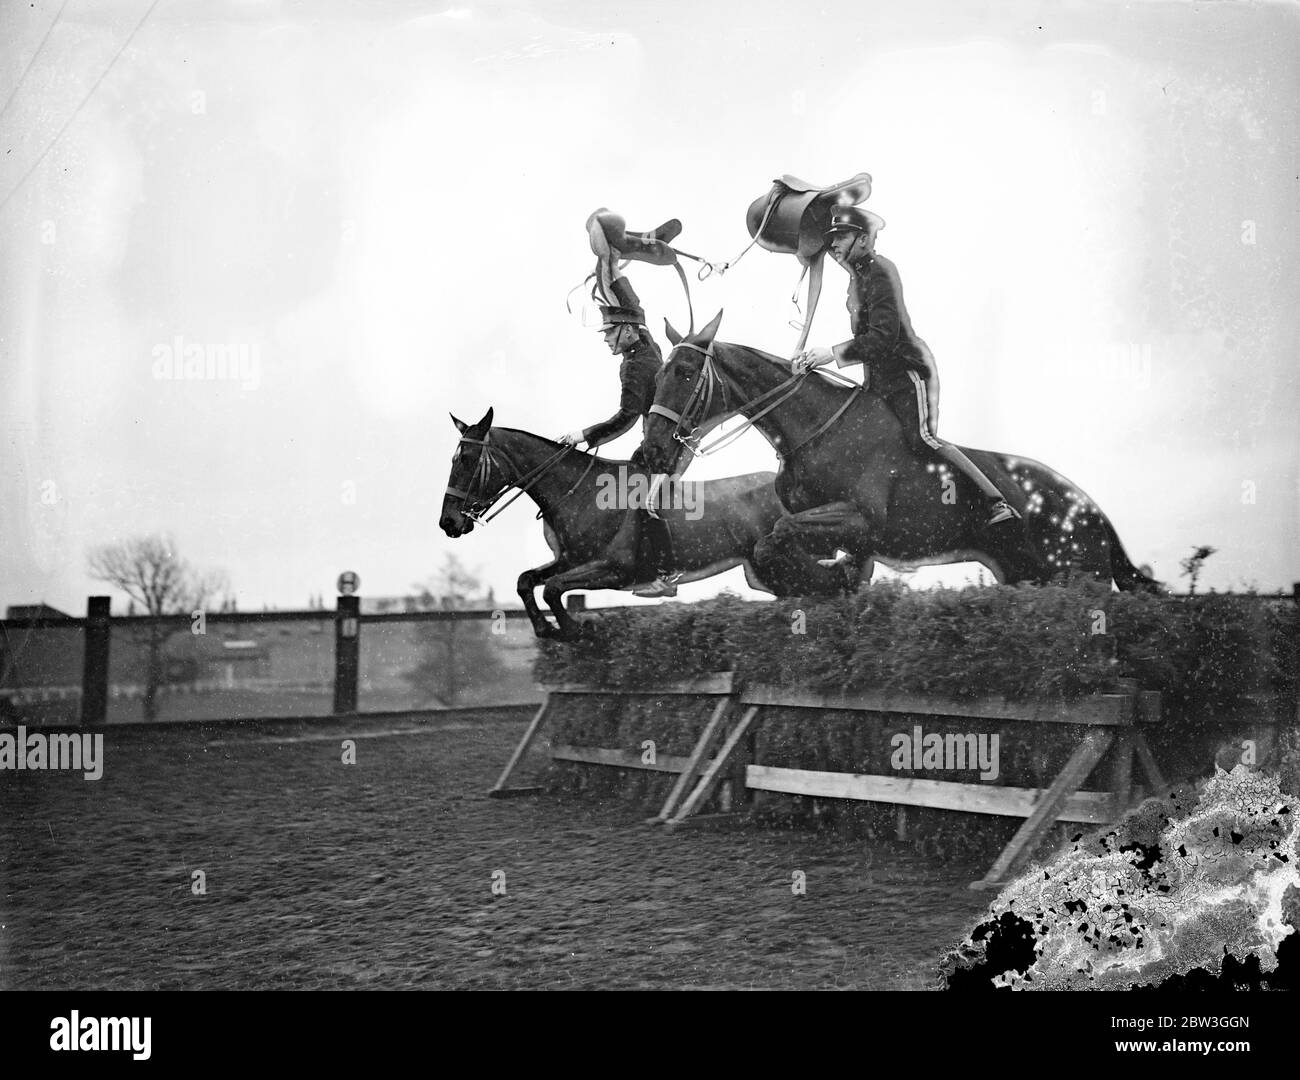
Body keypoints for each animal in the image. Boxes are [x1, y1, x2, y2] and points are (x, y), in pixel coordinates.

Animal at [441, 410, 857, 636]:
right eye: (453, 459)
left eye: (467, 461)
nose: (448, 523)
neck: (578, 492)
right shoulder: (572, 560)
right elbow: (528, 580)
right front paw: (546, 631)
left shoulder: (614, 569)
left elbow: (553, 589)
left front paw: (575, 631)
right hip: (766, 572)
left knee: (839, 580)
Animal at [639, 314, 1159, 592]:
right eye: (659, 372)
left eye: (684, 372)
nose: (651, 453)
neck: (814, 430)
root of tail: (1094, 511)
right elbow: (772, 543)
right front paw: (829, 581)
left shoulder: (861, 520)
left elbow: (778, 536)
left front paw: (828, 583)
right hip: (1022, 572)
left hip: (1076, 573)